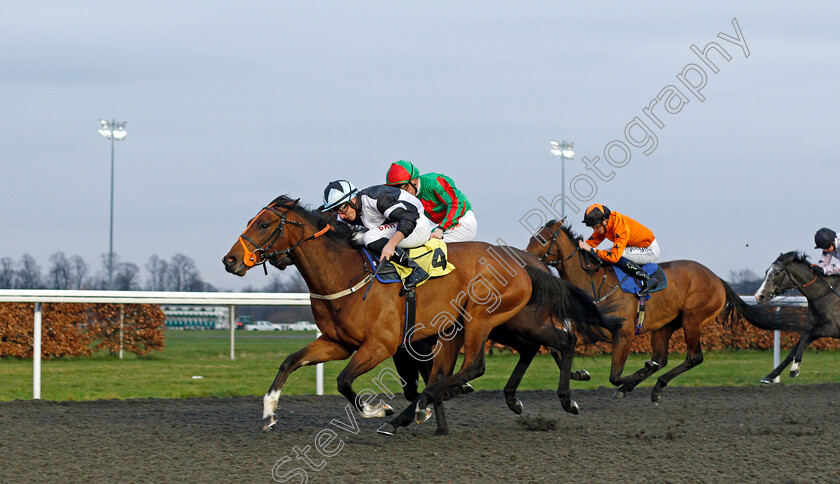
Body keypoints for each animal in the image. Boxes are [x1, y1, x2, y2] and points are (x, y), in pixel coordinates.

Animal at [221, 197, 616, 432]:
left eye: (263, 224)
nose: (230, 260)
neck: (346, 273)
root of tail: (525, 262)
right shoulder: (337, 342)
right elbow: (290, 361)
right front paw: (269, 412)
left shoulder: (380, 344)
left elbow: (344, 381)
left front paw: (380, 410)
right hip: (512, 323)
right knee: (549, 343)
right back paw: (543, 398)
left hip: (482, 319)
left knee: (480, 364)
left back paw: (412, 412)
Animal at [524, 219, 788, 400]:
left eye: (543, 239)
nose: (525, 258)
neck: (596, 282)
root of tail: (717, 279)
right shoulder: (593, 331)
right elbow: (558, 349)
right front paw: (580, 374)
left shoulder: (624, 334)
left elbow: (614, 376)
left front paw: (627, 381)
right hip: (664, 325)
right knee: (661, 359)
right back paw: (651, 383)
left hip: (692, 319)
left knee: (693, 357)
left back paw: (652, 384)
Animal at [756, 251, 840, 384]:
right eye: (766, 272)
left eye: (777, 273)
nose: (759, 296)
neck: (824, 293)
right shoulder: (816, 327)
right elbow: (795, 348)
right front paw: (770, 376)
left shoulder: (832, 329)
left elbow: (806, 335)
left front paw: (794, 368)